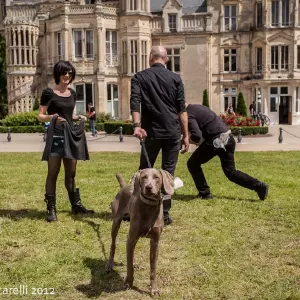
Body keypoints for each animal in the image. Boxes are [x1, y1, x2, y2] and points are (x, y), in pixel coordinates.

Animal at [106, 168, 175, 296]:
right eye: (143, 177)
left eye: (156, 177)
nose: (148, 187)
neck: (149, 207)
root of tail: (124, 186)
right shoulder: (132, 236)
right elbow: (129, 267)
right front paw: (128, 283)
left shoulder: (155, 242)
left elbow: (153, 268)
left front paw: (154, 289)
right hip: (116, 222)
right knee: (113, 244)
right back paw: (109, 264)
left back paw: (134, 262)